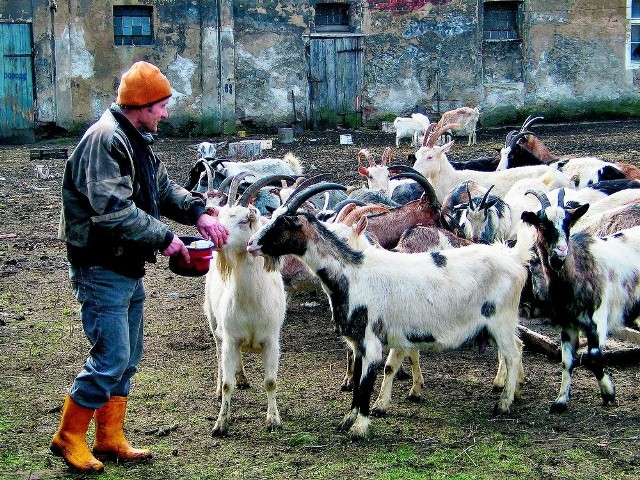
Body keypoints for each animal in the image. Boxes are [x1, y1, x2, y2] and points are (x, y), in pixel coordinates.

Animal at [204, 172, 292, 436]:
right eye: (220, 217)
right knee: (218, 351)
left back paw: (242, 377)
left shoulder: (271, 341)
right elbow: (227, 384)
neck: (251, 300)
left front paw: (273, 420)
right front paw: (220, 423)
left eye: (245, 220)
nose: (215, 237)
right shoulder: (231, 339)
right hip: (214, 322)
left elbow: (271, 381)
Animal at [248, 184, 536, 438]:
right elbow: (357, 383)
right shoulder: (359, 344)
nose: (251, 244)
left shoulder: (371, 341)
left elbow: (365, 384)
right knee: (518, 347)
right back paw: (515, 392)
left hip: (500, 319)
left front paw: (360, 429)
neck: (354, 274)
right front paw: (348, 420)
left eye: (284, 222)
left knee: (512, 354)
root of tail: (514, 259)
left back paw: (503, 403)